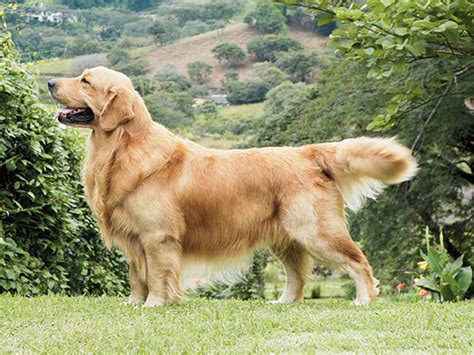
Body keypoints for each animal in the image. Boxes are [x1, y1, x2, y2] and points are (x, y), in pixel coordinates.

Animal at [49, 68, 418, 308]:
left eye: (85, 81)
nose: (50, 81)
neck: (123, 148)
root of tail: (308, 152)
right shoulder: (133, 239)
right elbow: (137, 277)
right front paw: (134, 303)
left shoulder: (157, 238)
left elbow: (156, 275)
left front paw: (154, 304)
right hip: (287, 238)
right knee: (296, 276)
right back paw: (283, 302)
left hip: (315, 230)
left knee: (358, 262)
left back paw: (364, 299)